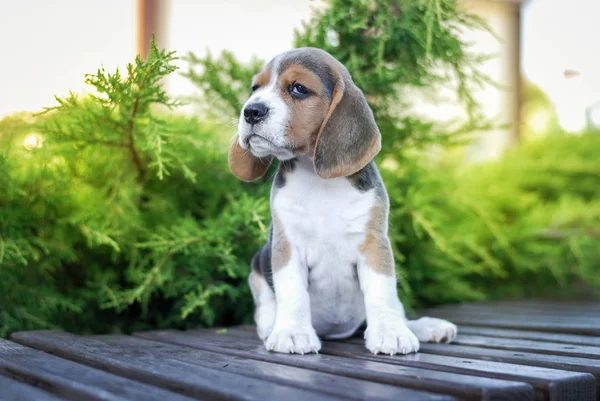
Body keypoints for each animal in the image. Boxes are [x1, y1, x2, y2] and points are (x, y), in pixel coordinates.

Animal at [229, 47, 454, 354]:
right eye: (255, 88)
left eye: (298, 88)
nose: (251, 111)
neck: (317, 179)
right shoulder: (287, 245)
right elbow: (292, 292)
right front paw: (292, 333)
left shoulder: (374, 243)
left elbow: (382, 291)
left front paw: (390, 332)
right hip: (258, 260)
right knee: (264, 298)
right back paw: (269, 324)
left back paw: (427, 327)